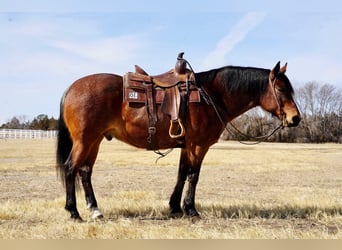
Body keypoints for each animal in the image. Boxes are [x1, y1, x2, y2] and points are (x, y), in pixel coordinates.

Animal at [55, 61, 300, 221]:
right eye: (280, 88)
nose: (295, 118)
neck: (212, 96)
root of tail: (71, 88)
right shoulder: (199, 145)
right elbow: (193, 175)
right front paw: (190, 209)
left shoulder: (187, 145)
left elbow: (182, 173)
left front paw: (175, 207)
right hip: (84, 140)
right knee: (71, 168)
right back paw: (74, 212)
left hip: (94, 141)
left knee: (85, 172)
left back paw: (95, 209)